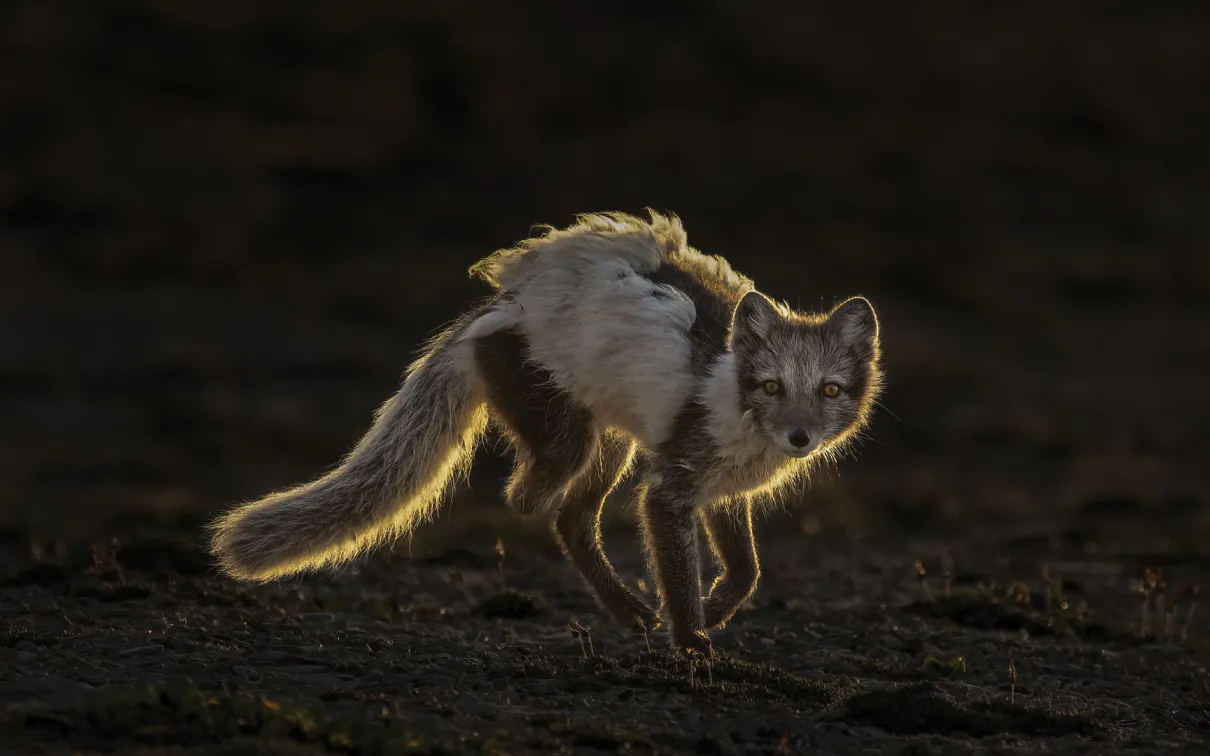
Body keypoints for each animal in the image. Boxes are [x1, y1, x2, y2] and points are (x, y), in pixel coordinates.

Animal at [208, 211, 882, 653]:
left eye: (829, 390)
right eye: (771, 387)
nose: (799, 439)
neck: (734, 404)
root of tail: (503, 306)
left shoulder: (721, 491)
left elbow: (747, 571)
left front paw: (715, 610)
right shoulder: (670, 488)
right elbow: (679, 568)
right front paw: (692, 641)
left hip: (609, 443)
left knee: (571, 519)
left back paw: (626, 610)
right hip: (574, 440)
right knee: (532, 499)